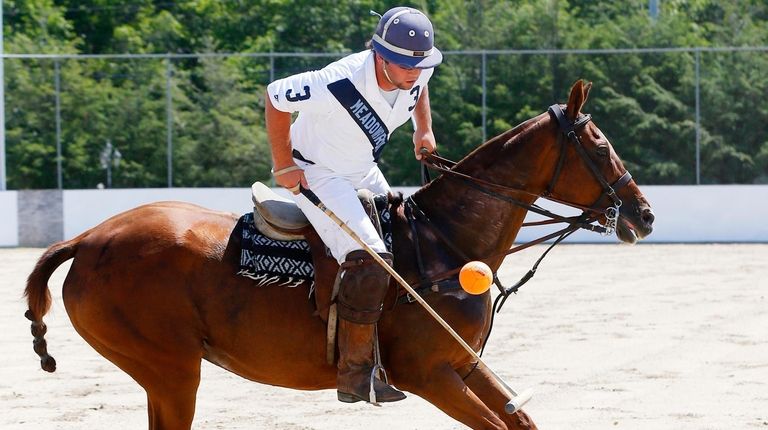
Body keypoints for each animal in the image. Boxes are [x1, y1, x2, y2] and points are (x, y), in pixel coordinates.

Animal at [24, 80, 652, 426]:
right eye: (599, 145)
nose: (643, 215)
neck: (446, 243)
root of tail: (88, 239)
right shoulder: (429, 373)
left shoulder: (462, 364)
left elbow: (521, 418)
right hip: (170, 369)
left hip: (165, 372)